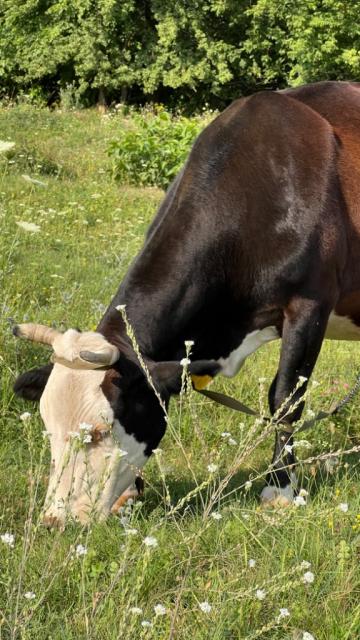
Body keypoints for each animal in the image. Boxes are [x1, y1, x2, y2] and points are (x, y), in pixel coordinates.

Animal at [12, 82, 360, 528]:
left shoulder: (309, 303)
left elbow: (285, 399)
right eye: (48, 426)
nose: (57, 520)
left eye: (99, 432)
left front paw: (280, 489)